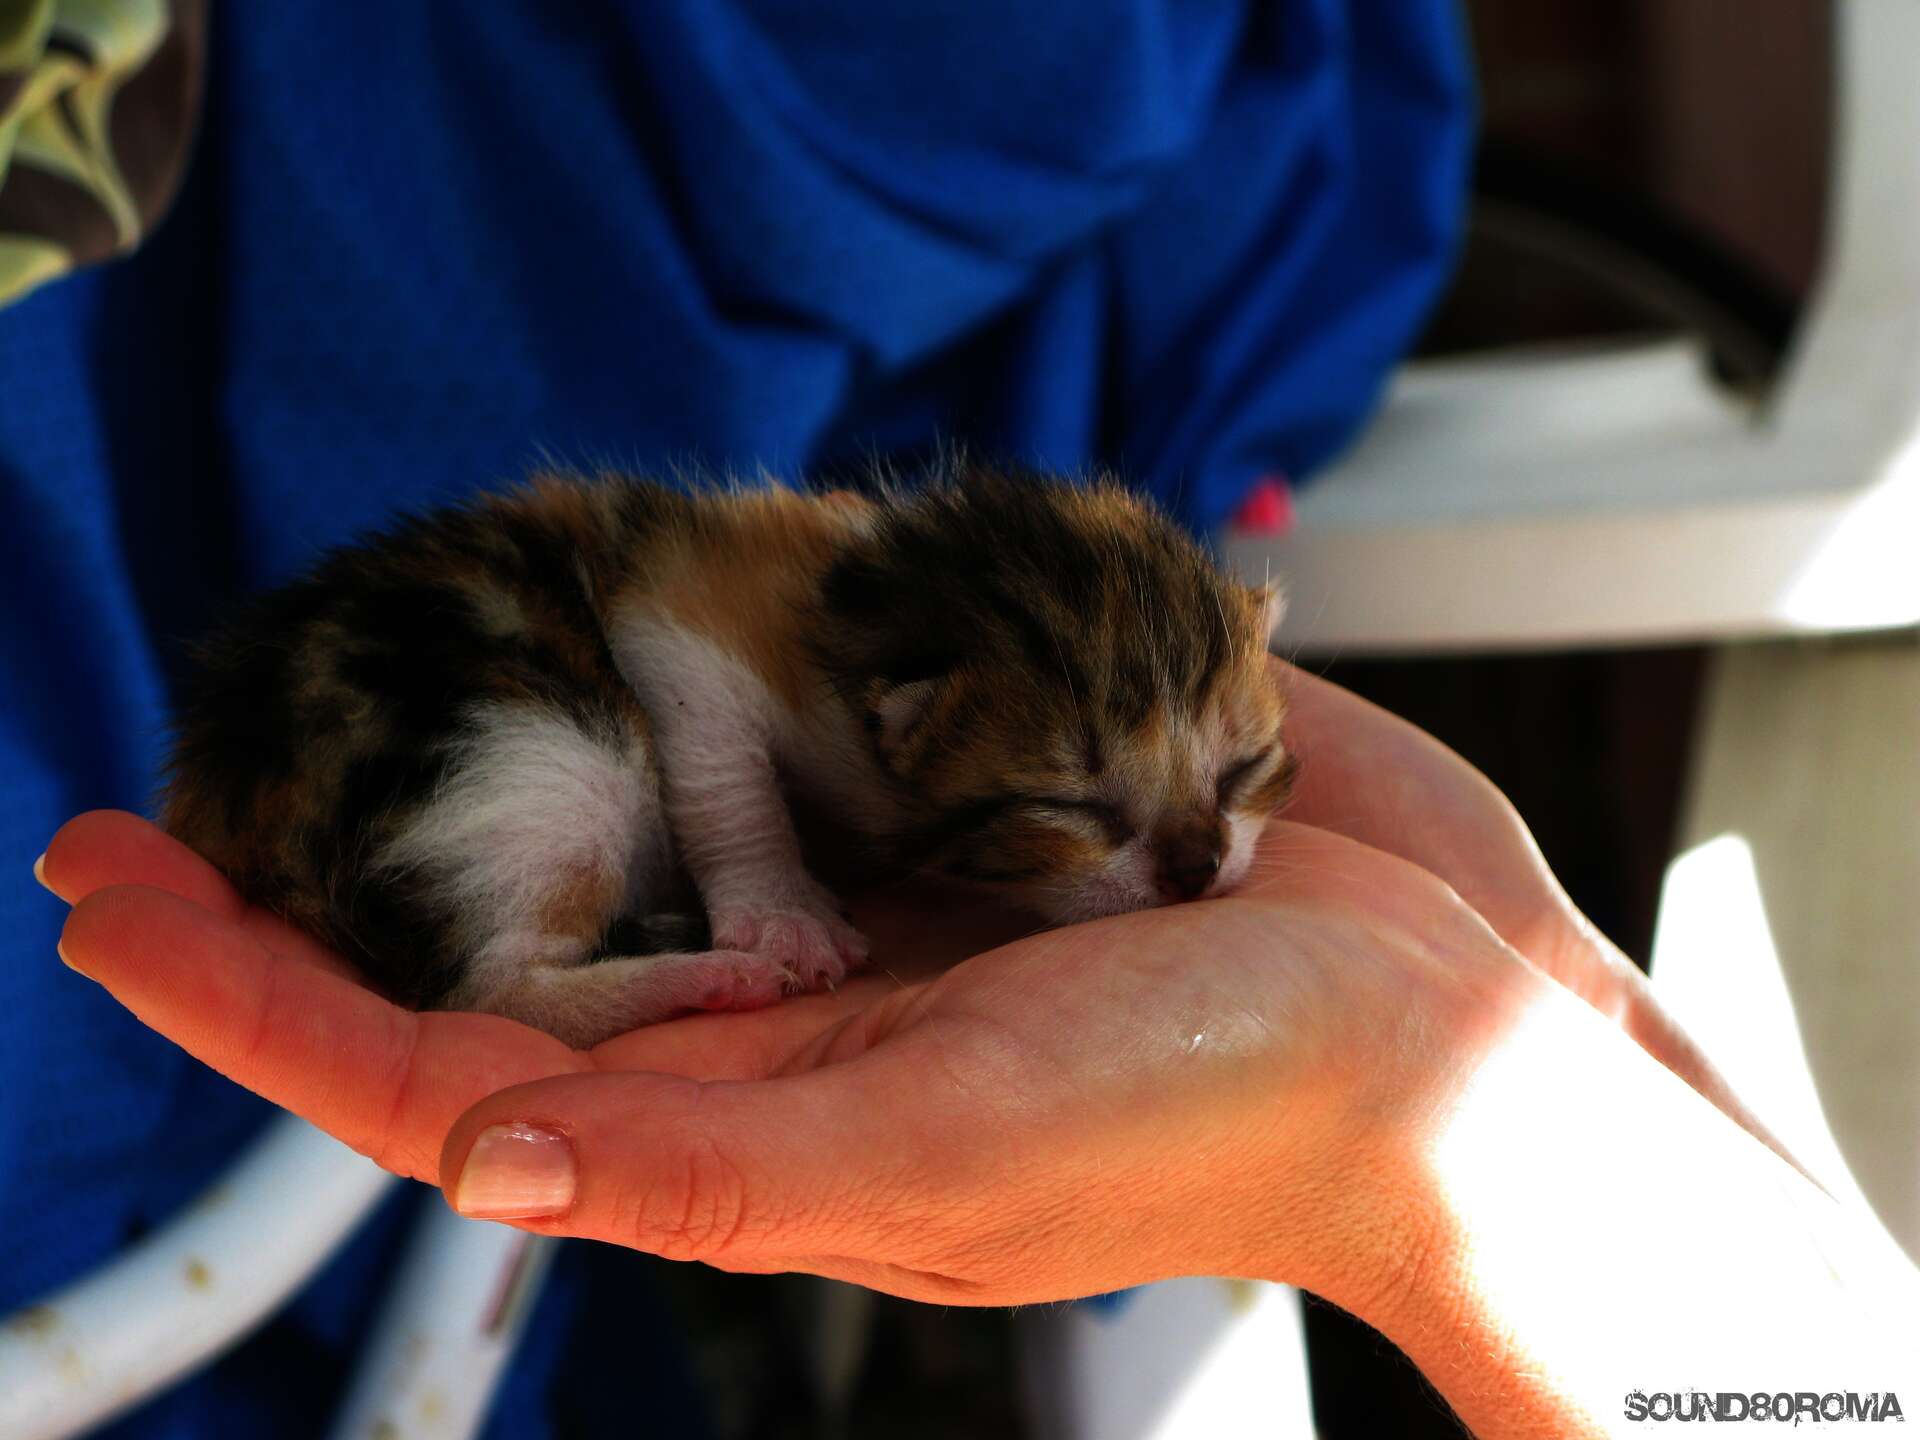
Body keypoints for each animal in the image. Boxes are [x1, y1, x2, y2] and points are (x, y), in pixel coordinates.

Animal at [161, 461, 1295, 1048]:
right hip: (540, 751)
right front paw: (782, 915)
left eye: (1242, 768)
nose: (1196, 865)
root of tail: (225, 793)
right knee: (490, 993)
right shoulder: (685, 624)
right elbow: (722, 770)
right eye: (1076, 803)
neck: (892, 594)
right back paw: (701, 977)